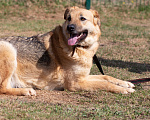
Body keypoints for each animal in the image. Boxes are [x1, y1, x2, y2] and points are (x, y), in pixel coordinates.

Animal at [0, 6, 135, 95]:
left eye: (82, 18)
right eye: (69, 18)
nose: (70, 28)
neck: (79, 48)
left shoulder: (83, 77)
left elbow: (106, 77)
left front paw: (125, 83)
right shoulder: (75, 83)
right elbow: (104, 83)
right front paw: (124, 89)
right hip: (9, 49)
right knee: (2, 88)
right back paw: (26, 90)